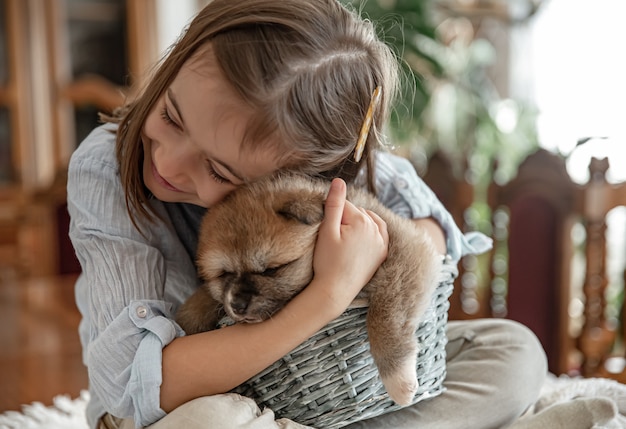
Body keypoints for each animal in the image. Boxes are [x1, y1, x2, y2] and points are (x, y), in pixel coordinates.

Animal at [174, 172, 438, 402]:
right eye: (224, 274)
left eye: (272, 269)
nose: (238, 305)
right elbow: (204, 298)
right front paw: (187, 318)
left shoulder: (404, 253)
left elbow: (383, 317)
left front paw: (399, 379)